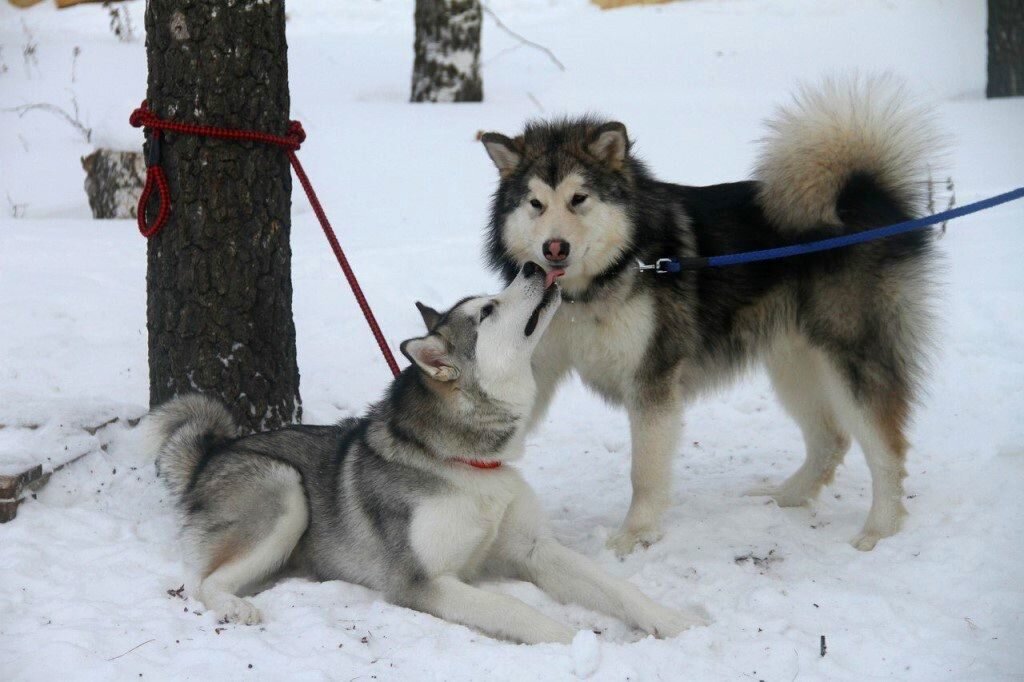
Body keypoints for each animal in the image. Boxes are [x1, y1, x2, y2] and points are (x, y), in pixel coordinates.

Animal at [144, 260, 708, 638]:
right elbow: (520, 612)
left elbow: (620, 589)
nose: (531, 264)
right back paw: (235, 606)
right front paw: (577, 642)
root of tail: (209, 456)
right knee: (202, 582)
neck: (470, 465)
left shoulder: (535, 550)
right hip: (284, 488)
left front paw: (673, 621)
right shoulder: (421, 582)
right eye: (489, 309)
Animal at [479, 75, 942, 552]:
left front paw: (635, 535)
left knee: (886, 448)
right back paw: (787, 496)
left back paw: (879, 530)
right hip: (795, 361)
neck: (589, 291)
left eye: (579, 198)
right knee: (830, 438)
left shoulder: (653, 378)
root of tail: (866, 196)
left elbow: (644, 472)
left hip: (851, 359)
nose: (554, 248)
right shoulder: (535, 359)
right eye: (535, 203)